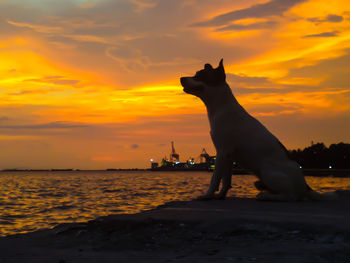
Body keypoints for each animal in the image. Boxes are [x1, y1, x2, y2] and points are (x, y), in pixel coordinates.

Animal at [179, 58, 338, 201]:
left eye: (199, 75)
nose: (181, 78)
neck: (221, 107)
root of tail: (305, 186)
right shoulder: (228, 156)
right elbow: (226, 180)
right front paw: (220, 196)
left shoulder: (222, 152)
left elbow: (215, 178)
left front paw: (207, 195)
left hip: (266, 170)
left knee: (291, 196)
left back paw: (265, 196)